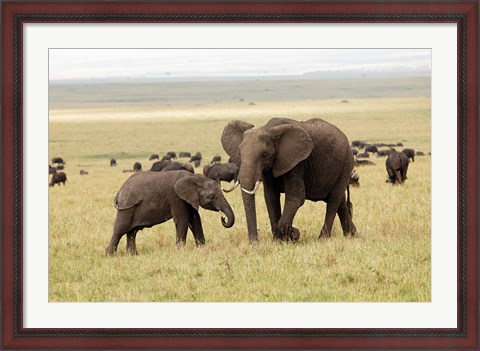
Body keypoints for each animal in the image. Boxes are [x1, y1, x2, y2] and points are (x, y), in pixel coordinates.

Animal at [105, 170, 234, 256]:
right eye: (212, 197)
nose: (223, 218)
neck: (194, 178)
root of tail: (119, 191)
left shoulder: (189, 199)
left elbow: (195, 219)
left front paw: (202, 248)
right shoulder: (176, 198)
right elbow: (183, 220)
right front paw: (181, 251)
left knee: (131, 232)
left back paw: (133, 255)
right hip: (126, 208)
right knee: (119, 230)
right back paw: (110, 255)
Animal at [221, 117, 356, 243]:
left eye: (264, 155)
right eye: (240, 154)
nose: (254, 243)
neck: (268, 129)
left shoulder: (297, 163)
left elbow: (295, 198)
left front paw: (293, 234)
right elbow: (271, 198)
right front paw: (279, 241)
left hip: (346, 163)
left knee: (333, 201)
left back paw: (322, 239)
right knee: (340, 202)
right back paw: (351, 235)